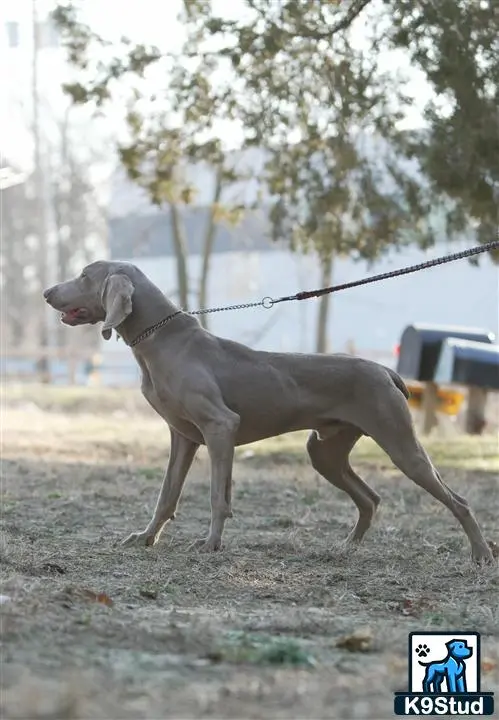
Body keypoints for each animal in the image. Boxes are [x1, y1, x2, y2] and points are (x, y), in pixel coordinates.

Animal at [44, 258, 496, 564]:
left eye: (84, 275)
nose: (47, 292)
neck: (163, 340)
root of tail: (384, 369)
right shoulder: (184, 437)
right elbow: (167, 494)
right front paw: (145, 537)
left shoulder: (220, 427)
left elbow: (217, 496)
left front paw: (210, 544)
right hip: (324, 451)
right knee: (369, 498)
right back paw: (347, 548)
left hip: (400, 443)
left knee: (458, 501)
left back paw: (480, 555)